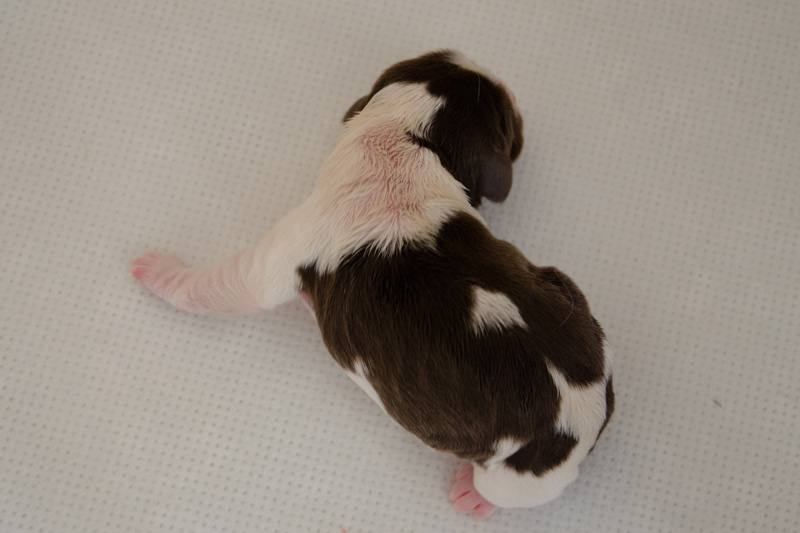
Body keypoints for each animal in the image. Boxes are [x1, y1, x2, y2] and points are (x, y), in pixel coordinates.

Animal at [134, 48, 616, 516]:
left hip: (521, 476)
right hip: (564, 285)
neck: (405, 139)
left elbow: (227, 284)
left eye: (506, 122)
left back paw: (472, 497)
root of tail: (600, 408)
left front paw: (156, 270)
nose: (512, 90)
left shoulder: (293, 242)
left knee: (505, 492)